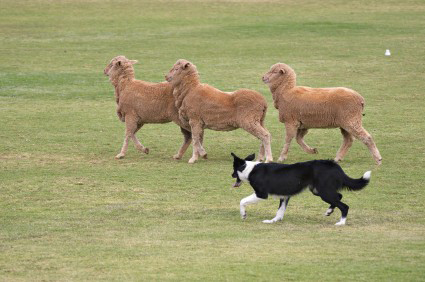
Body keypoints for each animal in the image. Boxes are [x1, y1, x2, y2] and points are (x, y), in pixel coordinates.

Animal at [229, 153, 372, 226]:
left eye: (234, 169)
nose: (231, 175)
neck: (249, 169)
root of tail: (334, 165)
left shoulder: (261, 194)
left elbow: (242, 201)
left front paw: (243, 214)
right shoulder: (285, 196)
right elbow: (280, 211)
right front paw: (273, 221)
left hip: (324, 192)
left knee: (344, 205)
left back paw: (341, 222)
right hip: (318, 191)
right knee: (339, 197)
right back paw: (329, 211)